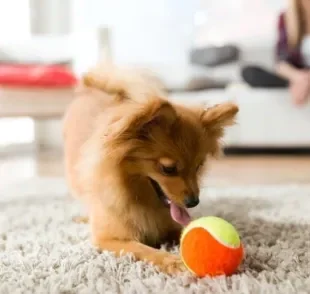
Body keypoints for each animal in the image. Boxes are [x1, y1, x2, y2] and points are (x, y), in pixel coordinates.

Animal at [62, 63, 237, 274]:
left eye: (198, 166)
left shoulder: (172, 224)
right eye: (168, 169)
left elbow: (186, 229)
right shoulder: (110, 239)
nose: (194, 202)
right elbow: (145, 250)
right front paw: (174, 262)